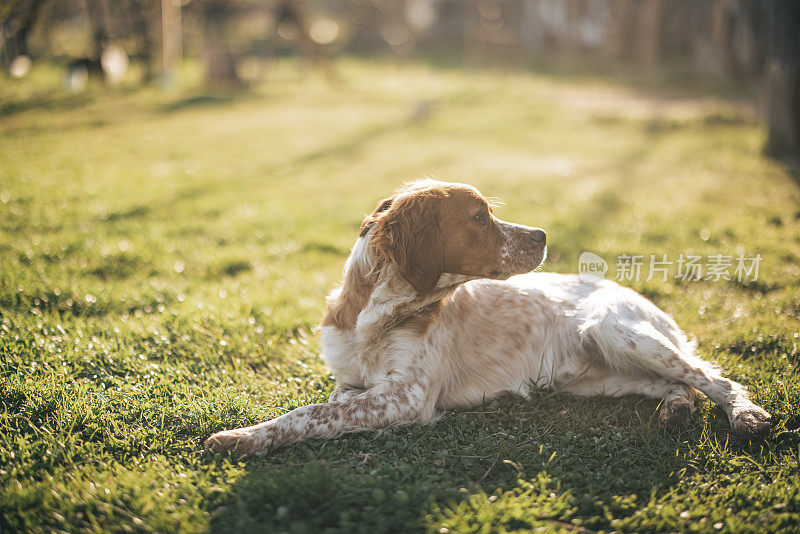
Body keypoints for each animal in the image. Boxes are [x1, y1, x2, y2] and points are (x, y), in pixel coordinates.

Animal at [205, 181, 768, 456]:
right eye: (479, 217)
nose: (542, 234)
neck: (377, 314)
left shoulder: (408, 395)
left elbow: (310, 413)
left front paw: (242, 436)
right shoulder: (354, 384)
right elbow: (332, 404)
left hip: (618, 330)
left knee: (716, 380)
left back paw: (746, 416)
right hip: (594, 378)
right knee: (681, 386)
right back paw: (675, 412)